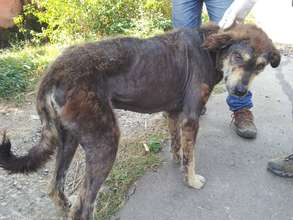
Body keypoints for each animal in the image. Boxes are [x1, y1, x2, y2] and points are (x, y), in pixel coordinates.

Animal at [0, 23, 280, 219]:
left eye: (260, 66)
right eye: (238, 57)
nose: (241, 92)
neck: (210, 49)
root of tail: (52, 71)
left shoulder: (174, 113)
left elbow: (178, 144)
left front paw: (177, 159)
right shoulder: (191, 117)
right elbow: (192, 157)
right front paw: (191, 180)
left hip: (68, 140)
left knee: (55, 187)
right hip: (105, 141)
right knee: (82, 207)